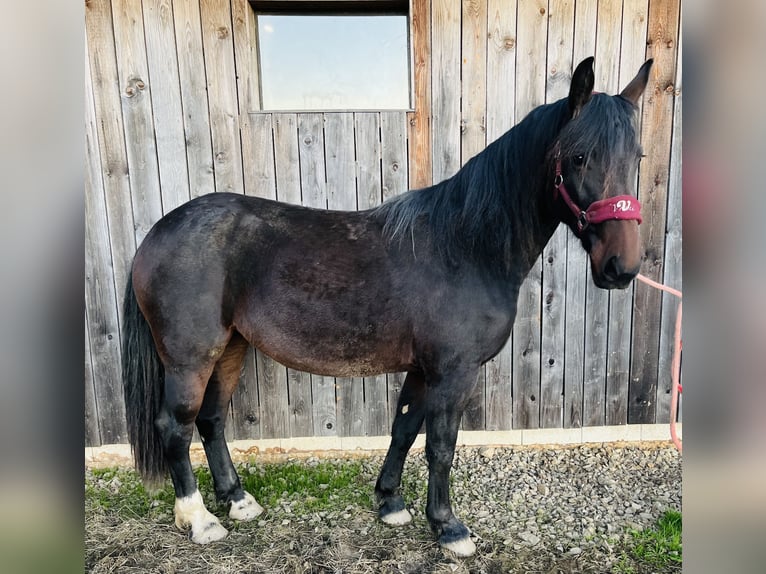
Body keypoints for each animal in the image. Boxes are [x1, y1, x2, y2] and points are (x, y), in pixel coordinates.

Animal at [120, 58, 656, 560]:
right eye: (579, 157)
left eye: (638, 157)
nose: (621, 267)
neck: (466, 246)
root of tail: (157, 232)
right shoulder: (453, 372)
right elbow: (441, 446)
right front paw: (448, 527)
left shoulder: (422, 369)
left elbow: (403, 429)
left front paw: (391, 504)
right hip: (190, 358)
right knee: (175, 426)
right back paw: (199, 520)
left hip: (230, 348)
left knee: (210, 421)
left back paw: (237, 500)